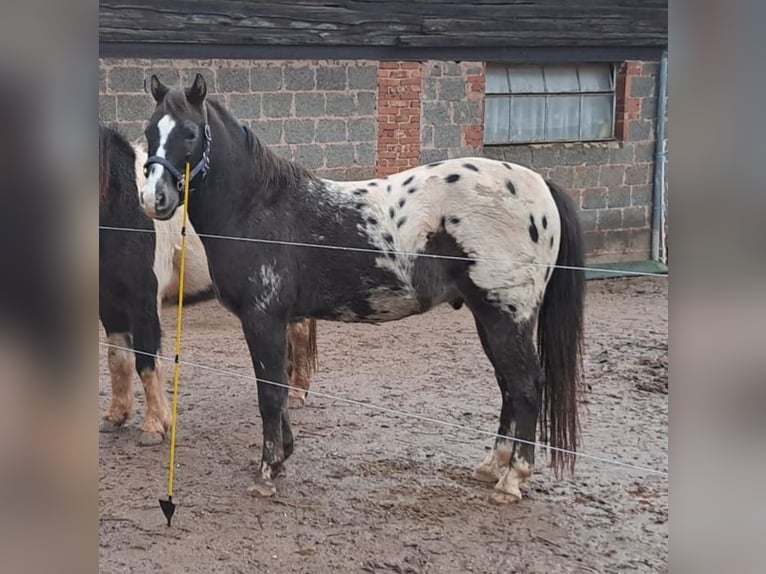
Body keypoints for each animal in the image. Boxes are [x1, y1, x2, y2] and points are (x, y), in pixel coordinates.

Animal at [100, 125, 320, 450]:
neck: (125, 208)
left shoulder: (143, 302)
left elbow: (146, 361)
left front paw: (154, 426)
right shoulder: (109, 303)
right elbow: (118, 360)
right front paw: (115, 416)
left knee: (300, 334)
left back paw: (296, 394)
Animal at [140, 75, 588, 504]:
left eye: (190, 133)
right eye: (149, 131)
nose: (154, 199)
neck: (258, 207)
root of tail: (539, 184)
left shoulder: (262, 319)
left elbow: (269, 394)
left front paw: (267, 475)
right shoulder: (277, 321)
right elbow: (279, 392)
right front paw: (282, 459)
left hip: (506, 316)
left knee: (526, 386)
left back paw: (511, 482)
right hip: (490, 318)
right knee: (509, 385)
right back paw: (492, 467)